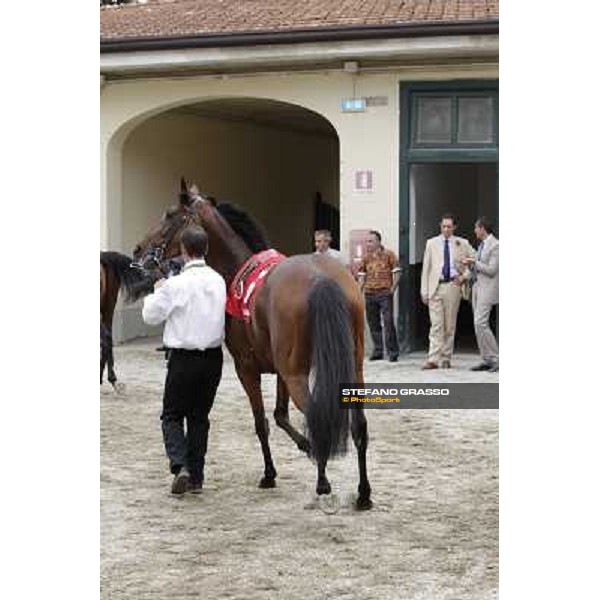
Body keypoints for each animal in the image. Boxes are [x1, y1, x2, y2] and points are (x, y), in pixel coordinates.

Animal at [134, 180, 372, 508]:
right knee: (359, 425)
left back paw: (323, 484)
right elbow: (281, 416)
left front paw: (270, 474)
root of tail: (321, 278)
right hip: (351, 368)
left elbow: (262, 423)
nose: (139, 249)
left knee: (316, 416)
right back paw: (363, 493)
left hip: (298, 375)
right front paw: (305, 446)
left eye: (170, 215)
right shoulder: (281, 370)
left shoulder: (247, 369)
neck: (237, 268)